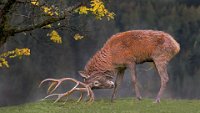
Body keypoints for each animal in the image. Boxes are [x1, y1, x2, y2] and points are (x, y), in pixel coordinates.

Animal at [39, 29, 180, 103]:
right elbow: (118, 83)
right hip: (156, 61)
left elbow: (134, 80)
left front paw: (139, 97)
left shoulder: (130, 61)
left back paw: (156, 100)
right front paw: (113, 99)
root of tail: (176, 46)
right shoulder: (121, 67)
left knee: (165, 78)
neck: (111, 58)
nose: (109, 85)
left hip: (160, 58)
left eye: (95, 83)